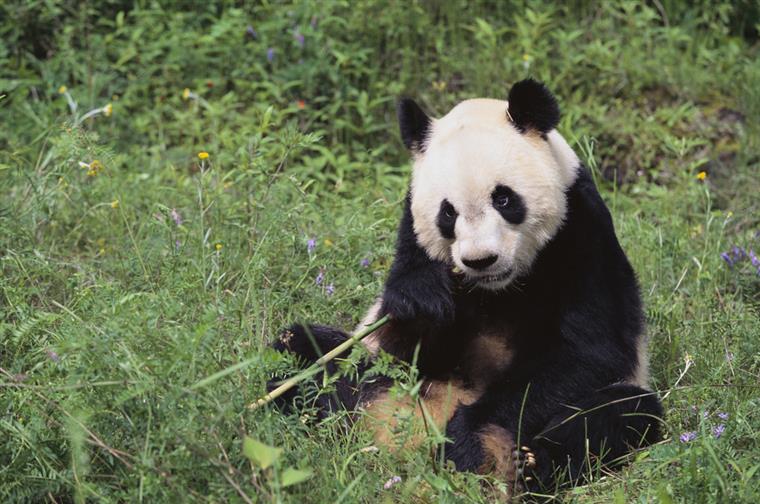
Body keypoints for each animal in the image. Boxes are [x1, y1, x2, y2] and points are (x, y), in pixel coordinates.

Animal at [270, 79, 664, 492]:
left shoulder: (581, 233)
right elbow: (403, 342)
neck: (498, 289)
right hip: (373, 376)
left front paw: (468, 436)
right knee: (304, 354)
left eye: (503, 198)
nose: (480, 260)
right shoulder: (413, 238)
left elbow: (588, 350)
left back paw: (519, 463)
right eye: (448, 213)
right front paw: (422, 301)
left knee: (618, 413)